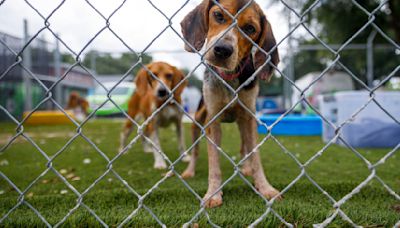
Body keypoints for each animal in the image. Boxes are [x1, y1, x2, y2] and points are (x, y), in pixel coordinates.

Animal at [181, 0, 282, 208]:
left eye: (250, 29)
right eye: (218, 16)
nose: (222, 50)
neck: (230, 78)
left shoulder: (249, 118)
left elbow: (255, 156)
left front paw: (265, 188)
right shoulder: (212, 122)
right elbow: (214, 163)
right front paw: (213, 194)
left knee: (245, 148)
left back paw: (245, 168)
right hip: (197, 122)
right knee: (195, 152)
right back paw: (190, 171)